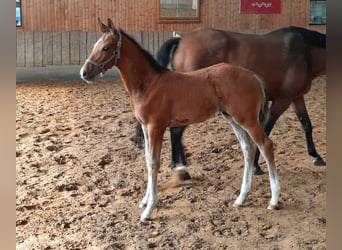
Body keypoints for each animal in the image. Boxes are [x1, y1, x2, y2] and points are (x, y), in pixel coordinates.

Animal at [81, 18, 280, 222]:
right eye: (95, 45)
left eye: (105, 48)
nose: (84, 73)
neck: (149, 84)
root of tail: (253, 76)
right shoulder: (145, 127)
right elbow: (147, 160)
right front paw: (145, 201)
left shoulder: (156, 127)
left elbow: (154, 164)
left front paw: (149, 209)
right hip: (233, 118)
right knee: (248, 148)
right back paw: (241, 198)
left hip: (247, 119)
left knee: (265, 145)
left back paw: (273, 200)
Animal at [135, 26, 328, 177]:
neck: (305, 52)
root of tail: (182, 40)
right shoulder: (282, 100)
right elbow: (266, 129)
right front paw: (256, 166)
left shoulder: (296, 97)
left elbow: (306, 124)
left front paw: (316, 156)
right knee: (176, 132)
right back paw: (180, 167)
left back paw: (180, 164)